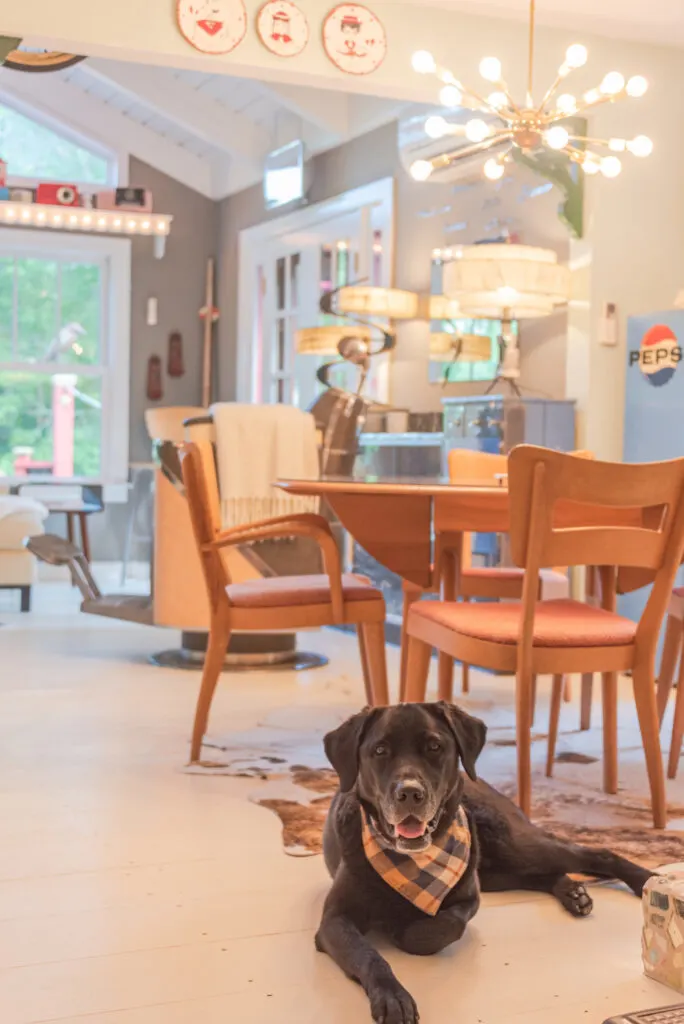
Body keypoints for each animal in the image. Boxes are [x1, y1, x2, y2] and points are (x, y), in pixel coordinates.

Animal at [317, 704, 655, 1024]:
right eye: (380, 750)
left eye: (435, 747)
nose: (410, 793)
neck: (412, 862)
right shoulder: (334, 921)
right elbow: (368, 954)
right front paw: (392, 997)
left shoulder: (469, 898)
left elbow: (442, 927)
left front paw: (403, 929)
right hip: (497, 872)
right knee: (544, 874)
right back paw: (574, 893)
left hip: (512, 846)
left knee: (595, 854)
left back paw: (646, 880)